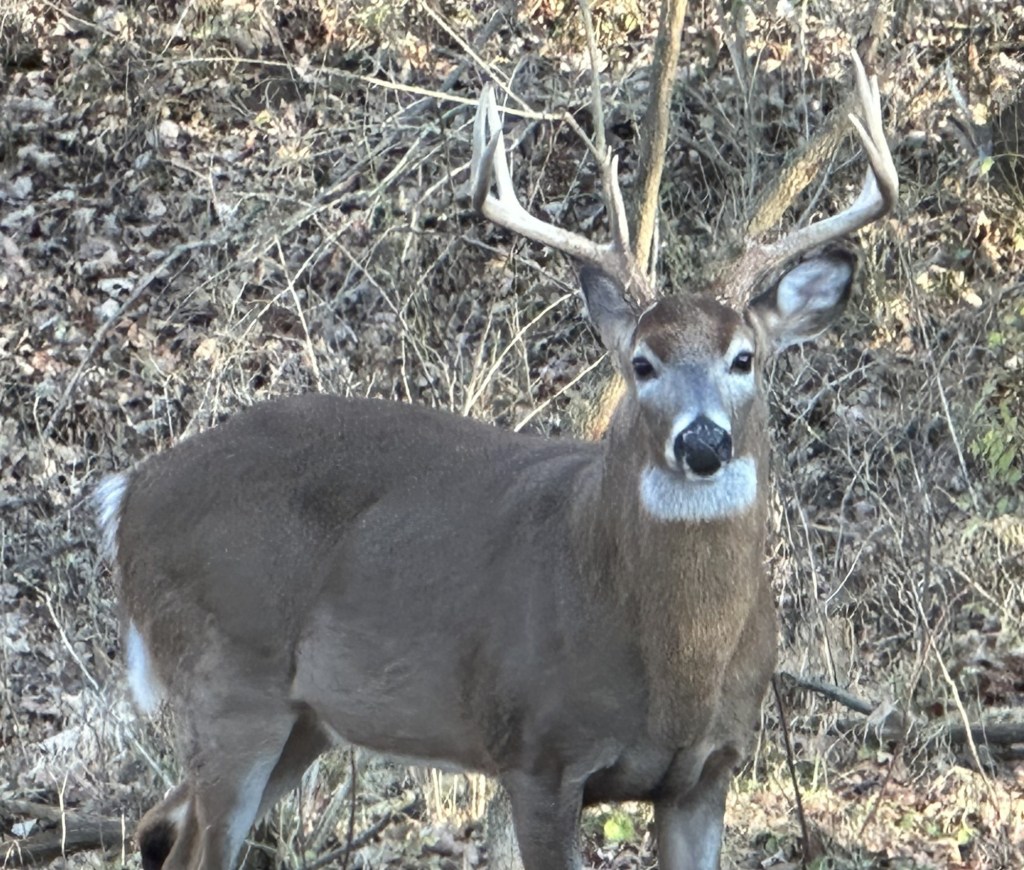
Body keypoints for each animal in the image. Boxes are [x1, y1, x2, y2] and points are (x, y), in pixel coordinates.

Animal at [93, 52, 897, 870]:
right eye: (642, 363)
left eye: (745, 358)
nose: (703, 441)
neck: (676, 667)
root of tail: (129, 491)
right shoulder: (538, 753)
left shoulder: (708, 771)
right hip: (227, 681)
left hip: (304, 717)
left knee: (161, 825)